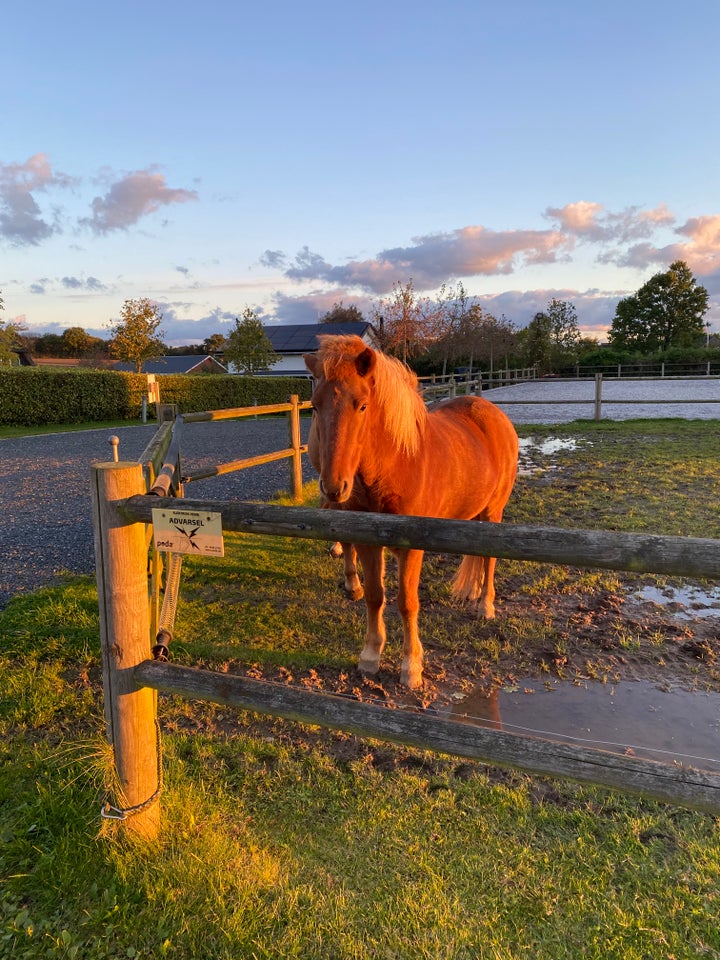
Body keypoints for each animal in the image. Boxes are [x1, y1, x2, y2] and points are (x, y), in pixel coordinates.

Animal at [306, 334, 516, 688]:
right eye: (314, 406)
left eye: (362, 405)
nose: (334, 488)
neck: (397, 465)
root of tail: (492, 414)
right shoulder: (367, 542)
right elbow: (375, 595)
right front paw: (370, 655)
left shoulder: (411, 549)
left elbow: (407, 603)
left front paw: (411, 666)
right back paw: (474, 593)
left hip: (493, 513)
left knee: (489, 560)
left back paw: (485, 605)